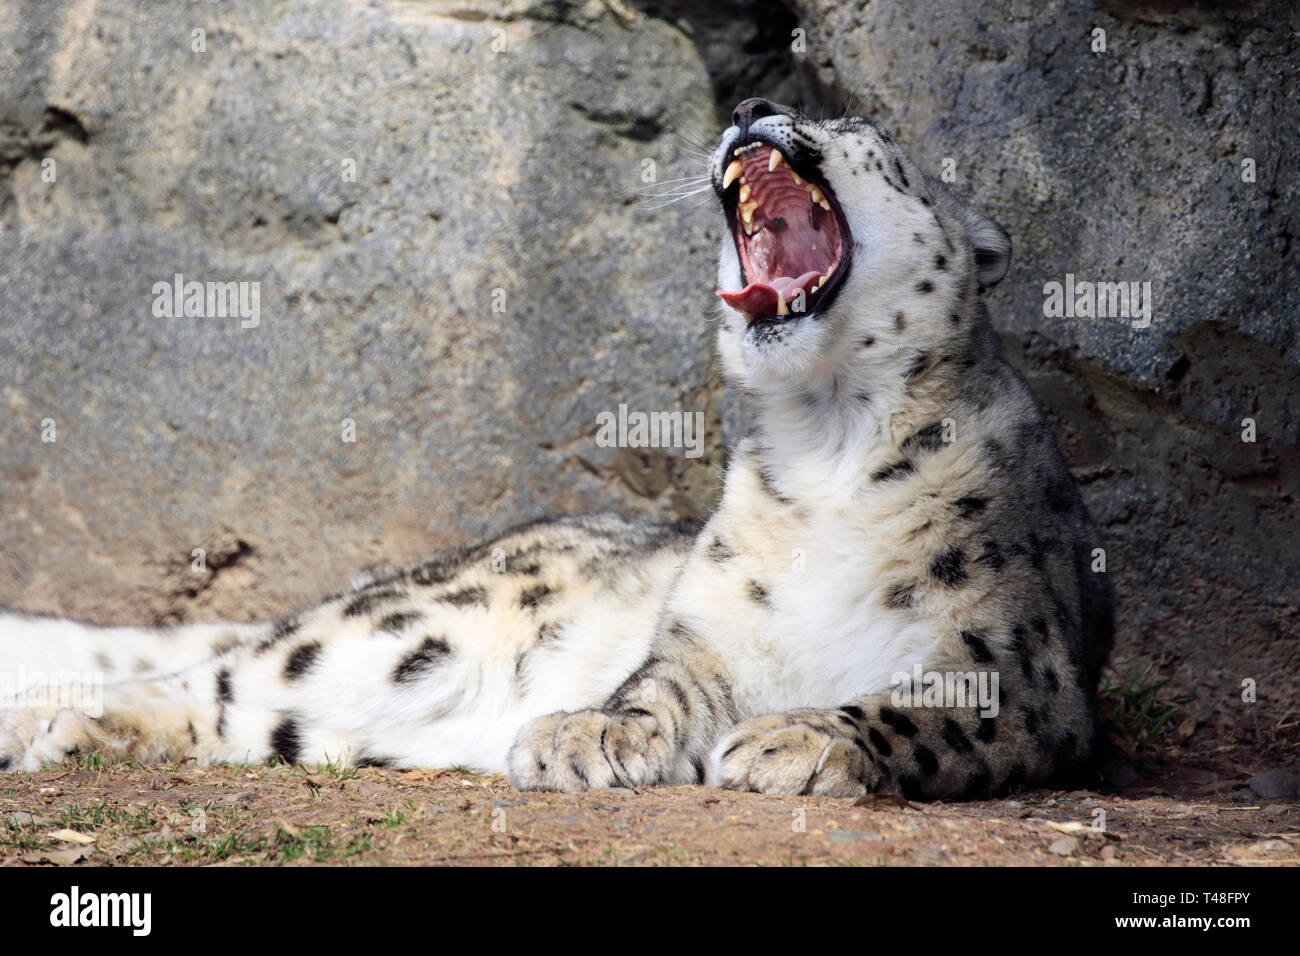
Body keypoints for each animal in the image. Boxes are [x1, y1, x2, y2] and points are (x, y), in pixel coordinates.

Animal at [0, 98, 1113, 799]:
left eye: (864, 132)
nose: (753, 102)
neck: (824, 433)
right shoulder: (702, 631)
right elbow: (656, 682)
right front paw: (592, 732)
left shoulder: (1013, 663)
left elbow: (916, 713)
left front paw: (797, 736)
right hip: (401, 630)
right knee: (220, 672)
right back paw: (64, 728)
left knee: (236, 703)